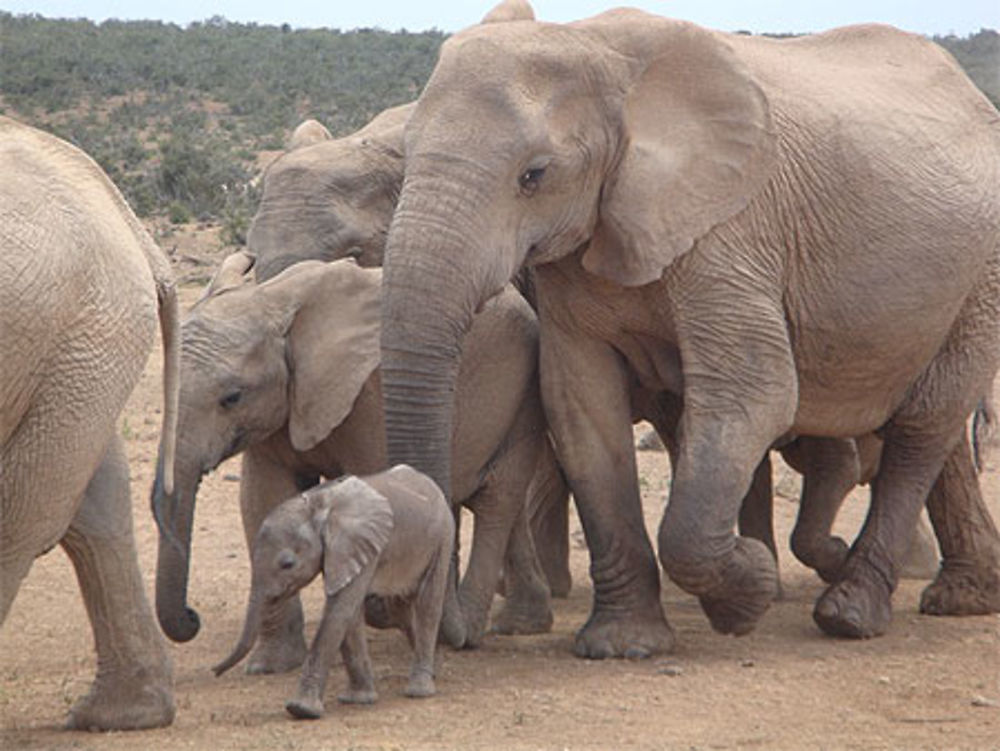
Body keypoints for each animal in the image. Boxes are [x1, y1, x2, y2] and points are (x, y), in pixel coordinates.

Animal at [151, 254, 560, 676]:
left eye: (232, 398)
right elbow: (262, 499)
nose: (193, 616)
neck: (272, 299)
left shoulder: (369, 397)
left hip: (521, 397)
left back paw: (467, 629)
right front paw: (271, 667)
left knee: (498, 500)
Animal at [217, 468, 456, 720]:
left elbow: (339, 611)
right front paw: (359, 700)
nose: (215, 671)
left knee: (429, 604)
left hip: (443, 535)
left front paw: (301, 710)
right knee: (402, 607)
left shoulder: (361, 545)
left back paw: (419, 691)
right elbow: (349, 615)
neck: (316, 505)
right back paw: (433, 670)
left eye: (287, 564)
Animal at [376, 1, 1000, 656]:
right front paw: (624, 644)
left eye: (534, 175)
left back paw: (850, 612)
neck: (595, 50)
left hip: (982, 273)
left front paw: (748, 592)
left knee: (921, 428)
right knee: (938, 429)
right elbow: (581, 406)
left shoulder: (731, 230)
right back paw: (959, 597)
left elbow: (754, 394)